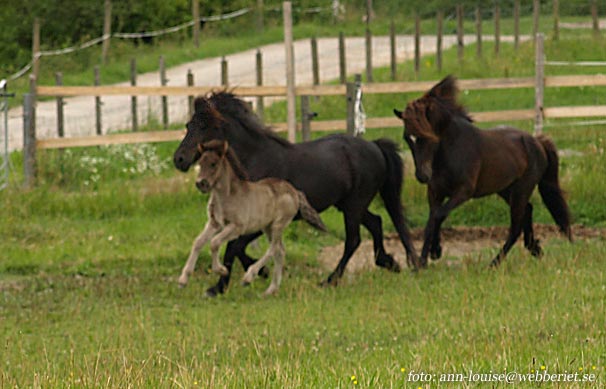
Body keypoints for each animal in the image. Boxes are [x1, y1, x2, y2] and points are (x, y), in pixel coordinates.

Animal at [176, 91, 420, 294]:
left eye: (204, 126)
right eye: (188, 125)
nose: (179, 159)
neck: (255, 161)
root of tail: (374, 146)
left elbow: (233, 247)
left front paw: (220, 286)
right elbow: (236, 247)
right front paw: (257, 273)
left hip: (354, 205)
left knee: (354, 239)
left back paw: (330, 280)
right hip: (349, 204)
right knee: (376, 222)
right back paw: (389, 263)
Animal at [394, 74, 576, 266]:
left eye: (428, 137)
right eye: (407, 138)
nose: (422, 175)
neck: (450, 152)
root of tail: (538, 142)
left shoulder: (463, 192)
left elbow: (438, 215)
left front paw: (435, 252)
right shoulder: (435, 192)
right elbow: (431, 221)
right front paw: (422, 261)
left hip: (522, 189)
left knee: (516, 227)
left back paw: (494, 263)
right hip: (506, 190)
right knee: (527, 211)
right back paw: (534, 248)